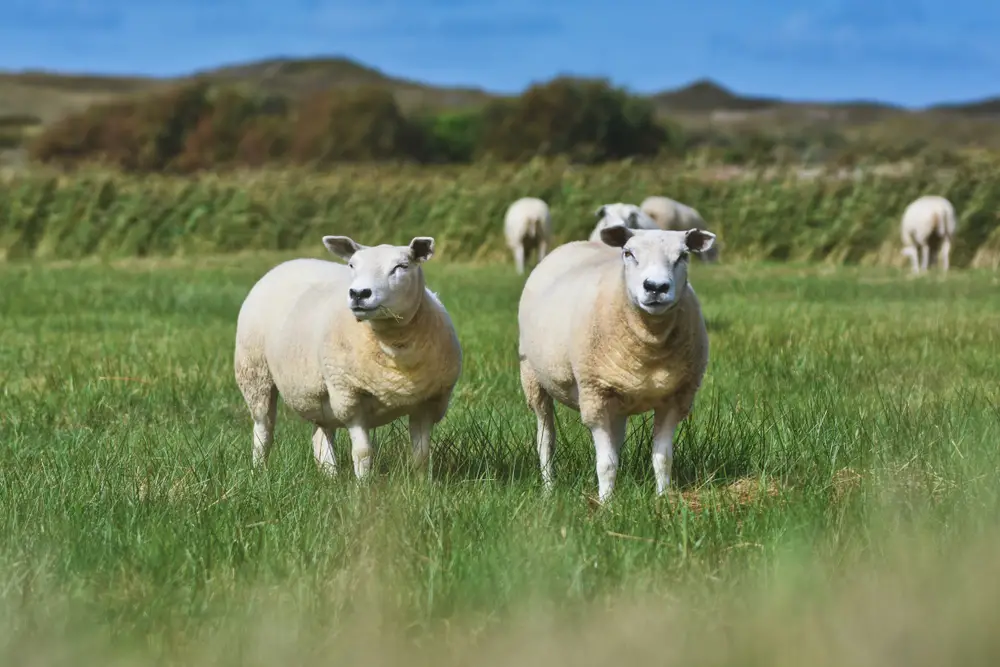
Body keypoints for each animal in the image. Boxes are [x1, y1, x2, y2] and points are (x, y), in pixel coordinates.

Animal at [235, 235, 464, 480]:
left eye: (401, 266)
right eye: (352, 265)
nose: (359, 294)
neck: (393, 348)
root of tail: (289, 263)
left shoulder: (429, 402)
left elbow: (421, 454)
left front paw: (422, 484)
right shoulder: (349, 396)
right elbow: (363, 452)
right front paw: (364, 485)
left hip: (320, 390)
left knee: (321, 433)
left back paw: (330, 476)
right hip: (254, 372)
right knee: (264, 427)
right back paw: (259, 471)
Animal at [520, 222, 716, 504]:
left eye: (683, 256)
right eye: (628, 253)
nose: (656, 287)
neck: (650, 346)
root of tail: (576, 243)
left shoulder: (676, 398)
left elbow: (662, 458)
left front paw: (662, 499)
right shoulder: (595, 395)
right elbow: (606, 463)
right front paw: (606, 503)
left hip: (620, 398)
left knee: (616, 439)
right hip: (532, 377)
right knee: (545, 437)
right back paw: (548, 487)